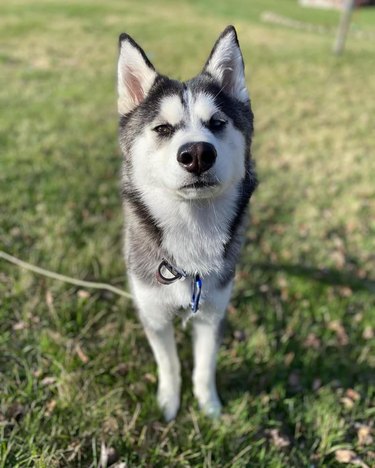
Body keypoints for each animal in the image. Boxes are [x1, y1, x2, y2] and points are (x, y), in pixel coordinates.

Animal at [118, 25, 258, 420]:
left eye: (217, 123)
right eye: (163, 128)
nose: (196, 153)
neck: (191, 233)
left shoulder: (213, 314)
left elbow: (204, 367)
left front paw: (209, 407)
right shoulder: (154, 315)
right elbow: (170, 365)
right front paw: (169, 403)